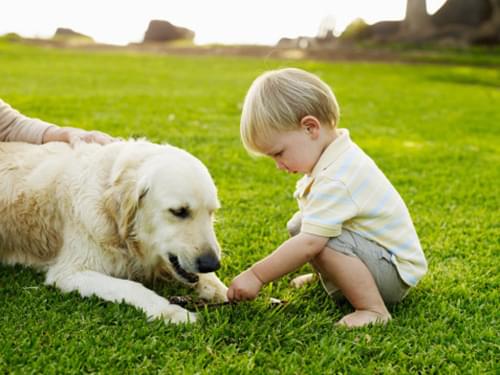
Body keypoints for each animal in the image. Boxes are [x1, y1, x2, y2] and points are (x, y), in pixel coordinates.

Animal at [0, 140, 229, 324]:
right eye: (179, 211)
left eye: (211, 212)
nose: (212, 264)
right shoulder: (70, 273)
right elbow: (131, 287)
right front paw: (170, 311)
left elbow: (213, 284)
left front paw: (225, 291)